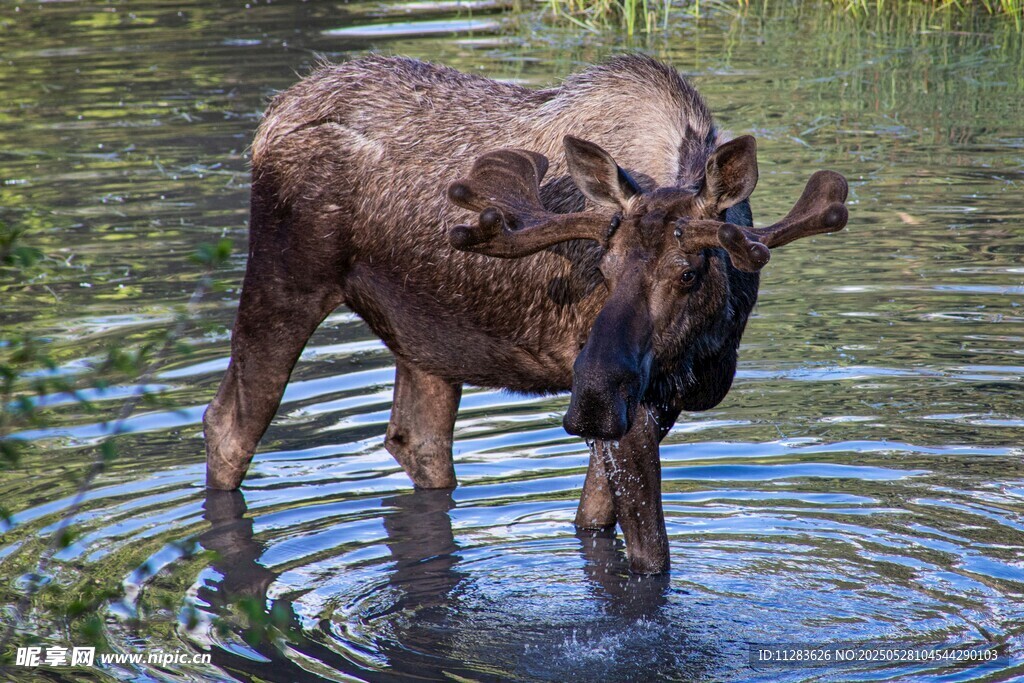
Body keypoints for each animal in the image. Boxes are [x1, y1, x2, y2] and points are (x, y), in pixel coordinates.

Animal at [203, 54, 848, 573]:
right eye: (602, 267)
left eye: (689, 272)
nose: (591, 393)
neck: (710, 342)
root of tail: (270, 119)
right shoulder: (634, 408)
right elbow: (652, 560)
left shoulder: (655, 404)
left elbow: (593, 524)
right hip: (285, 281)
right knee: (228, 424)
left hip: (423, 338)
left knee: (417, 440)